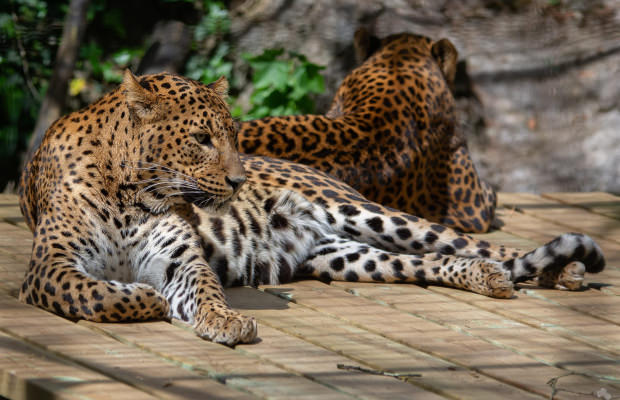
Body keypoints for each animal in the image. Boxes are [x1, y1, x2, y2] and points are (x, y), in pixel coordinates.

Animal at [19, 70, 604, 346]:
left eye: (233, 135)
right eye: (202, 139)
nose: (239, 180)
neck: (131, 191)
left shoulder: (180, 259)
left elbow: (203, 289)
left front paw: (226, 320)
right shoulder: (49, 267)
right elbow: (97, 293)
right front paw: (144, 298)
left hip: (366, 214)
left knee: (473, 243)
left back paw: (562, 270)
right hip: (349, 257)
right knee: (432, 261)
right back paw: (492, 277)